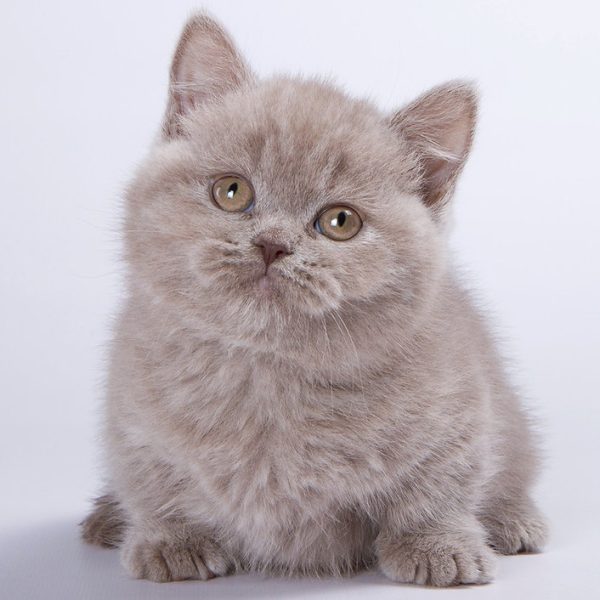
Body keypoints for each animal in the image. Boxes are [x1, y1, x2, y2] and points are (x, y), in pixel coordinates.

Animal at [81, 12, 548, 584]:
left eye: (340, 221)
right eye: (232, 191)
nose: (271, 244)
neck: (266, 376)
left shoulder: (458, 403)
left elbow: (440, 482)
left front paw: (437, 546)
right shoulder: (132, 414)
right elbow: (150, 480)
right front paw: (172, 540)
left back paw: (512, 520)